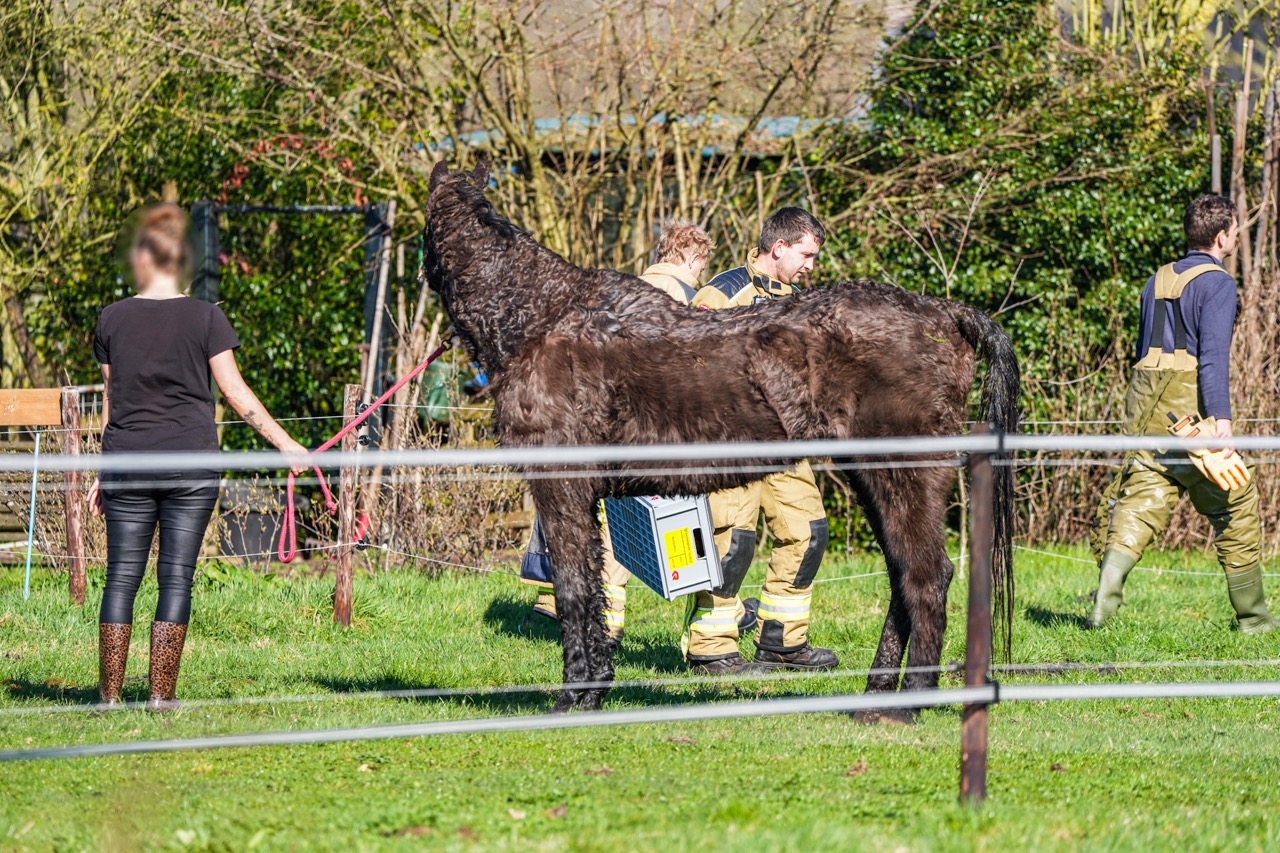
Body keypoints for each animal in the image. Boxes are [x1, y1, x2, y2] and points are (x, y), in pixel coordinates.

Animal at [423, 161, 1020, 714]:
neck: (541, 314)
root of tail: (945, 313)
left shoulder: (560, 484)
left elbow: (573, 587)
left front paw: (576, 698)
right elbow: (591, 584)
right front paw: (594, 687)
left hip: (907, 472)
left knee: (926, 577)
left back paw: (908, 703)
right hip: (874, 478)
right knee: (903, 578)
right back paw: (875, 695)